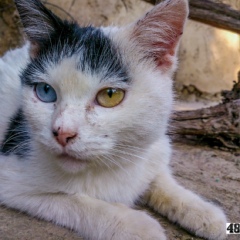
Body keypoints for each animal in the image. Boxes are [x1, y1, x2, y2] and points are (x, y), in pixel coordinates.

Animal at [0, 0, 227, 239]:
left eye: (110, 95)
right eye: (45, 91)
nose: (62, 133)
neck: (111, 166)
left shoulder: (156, 149)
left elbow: (161, 179)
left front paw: (203, 211)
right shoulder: (10, 176)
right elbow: (73, 201)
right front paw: (137, 226)